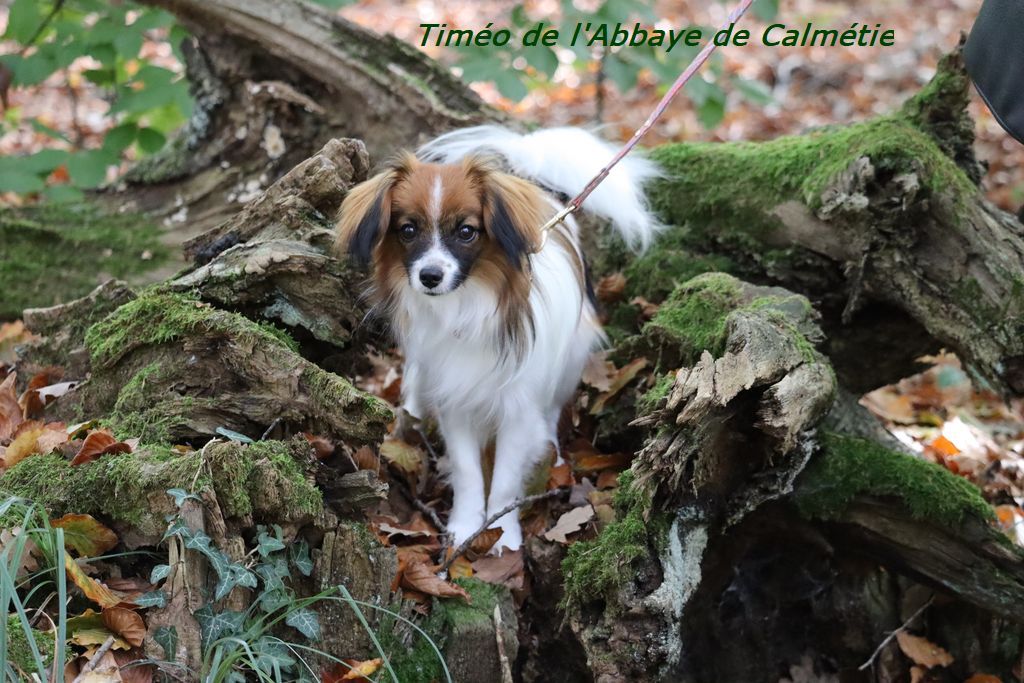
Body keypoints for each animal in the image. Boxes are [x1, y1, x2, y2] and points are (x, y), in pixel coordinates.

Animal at [331, 125, 659, 548]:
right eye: (408, 230)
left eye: (466, 231)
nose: (430, 276)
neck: (466, 305)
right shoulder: (455, 397)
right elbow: (468, 471)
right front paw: (464, 527)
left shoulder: (518, 409)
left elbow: (504, 481)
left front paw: (503, 537)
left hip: (569, 362)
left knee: (552, 408)